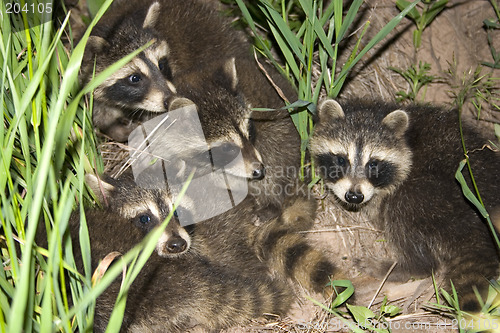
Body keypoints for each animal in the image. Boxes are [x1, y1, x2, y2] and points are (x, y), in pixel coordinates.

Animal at [310, 98, 500, 308]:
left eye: (373, 164)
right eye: (341, 160)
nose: (354, 196)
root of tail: (477, 221)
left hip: (436, 198)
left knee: (402, 208)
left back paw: (403, 267)